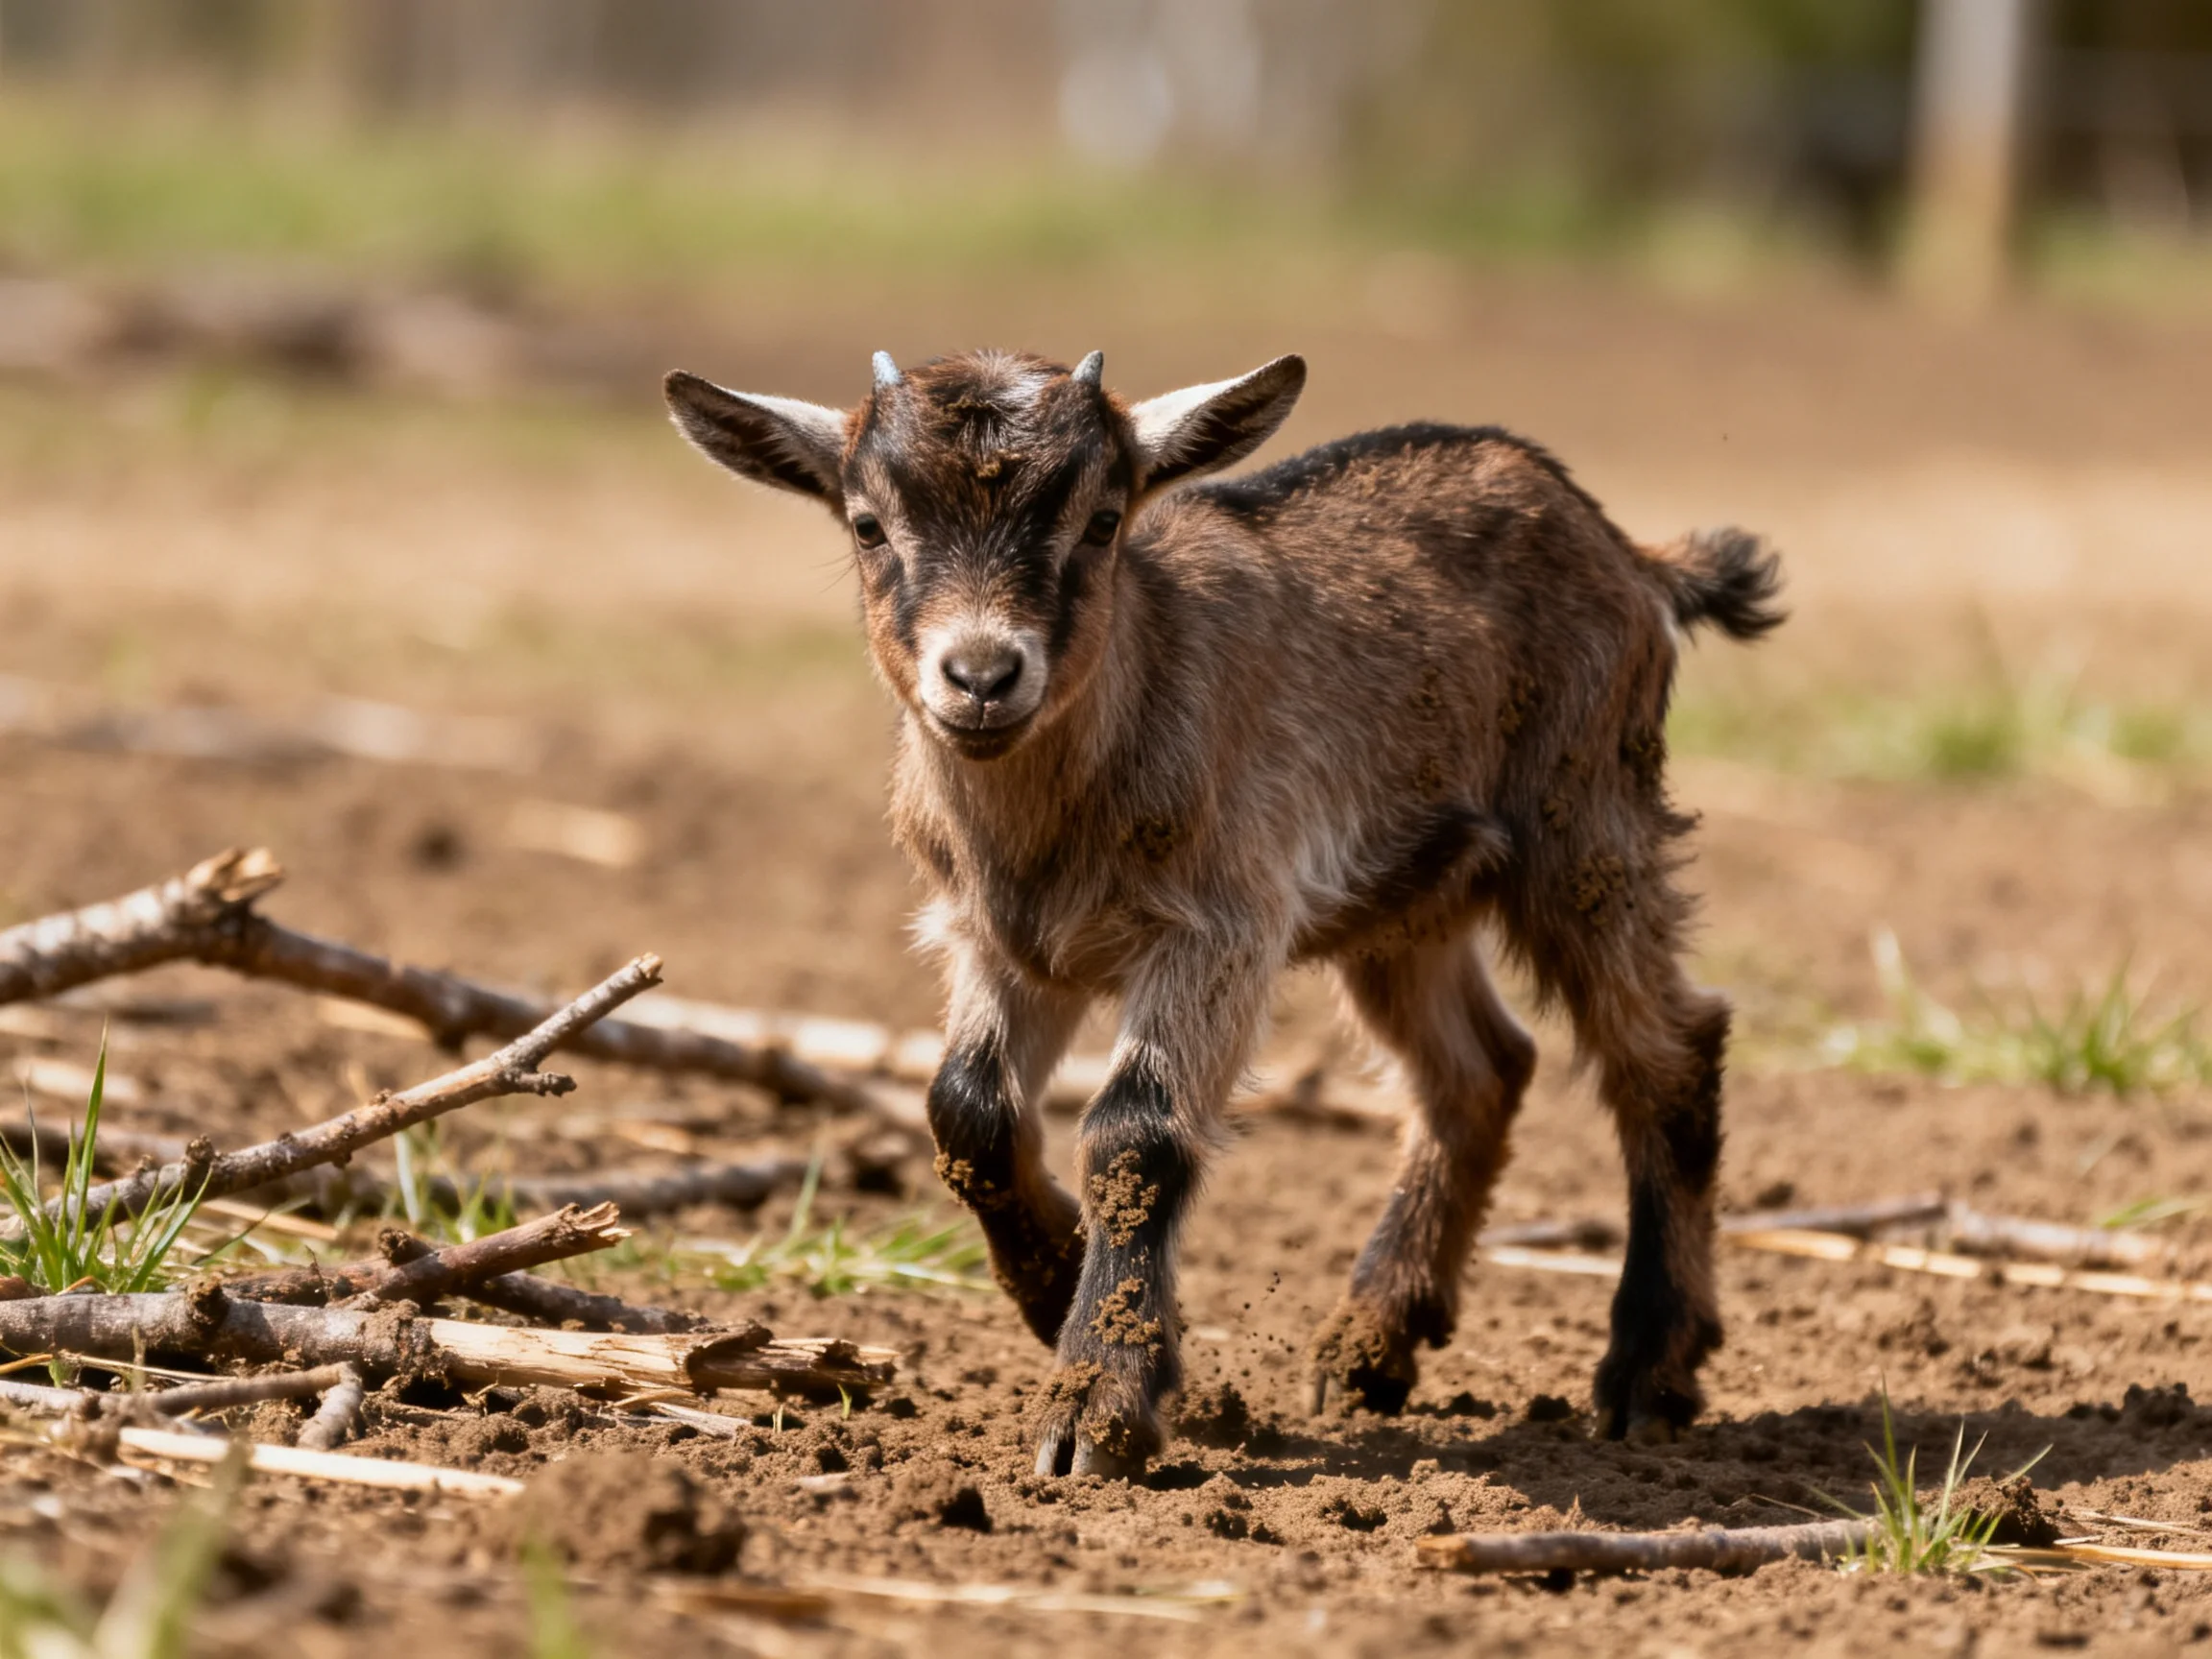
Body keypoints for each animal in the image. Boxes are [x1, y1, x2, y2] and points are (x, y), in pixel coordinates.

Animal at [663, 348, 1784, 1477]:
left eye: (1102, 520)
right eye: (868, 525)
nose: (982, 677)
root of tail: (1632, 555)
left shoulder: (1219, 927)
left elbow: (1135, 1131)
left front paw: (1097, 1405)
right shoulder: (1000, 943)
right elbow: (965, 1111)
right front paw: (1055, 1285)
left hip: (1584, 821)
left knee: (1666, 1047)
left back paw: (1647, 1371)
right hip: (1405, 900)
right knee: (1479, 1069)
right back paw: (1372, 1343)